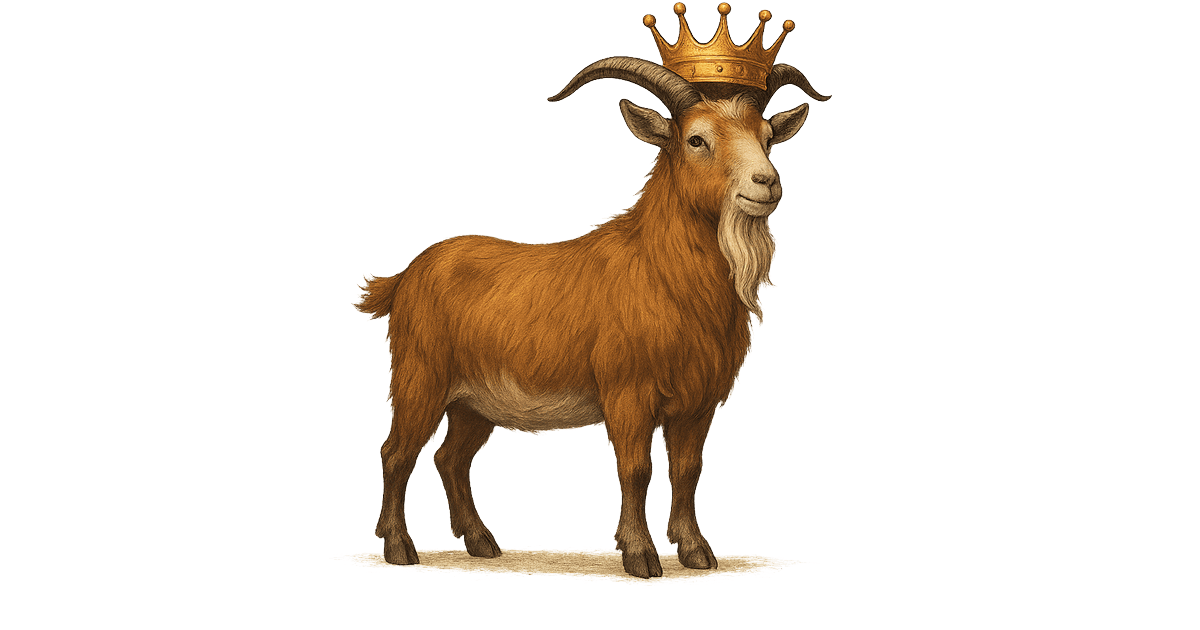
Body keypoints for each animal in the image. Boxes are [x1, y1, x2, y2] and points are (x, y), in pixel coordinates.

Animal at [353, 10, 828, 579]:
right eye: (696, 139)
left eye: (767, 136)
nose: (765, 183)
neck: (661, 275)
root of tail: (406, 276)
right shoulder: (628, 392)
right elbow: (637, 468)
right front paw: (641, 555)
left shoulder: (698, 401)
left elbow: (688, 469)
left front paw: (696, 552)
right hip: (420, 377)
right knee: (396, 452)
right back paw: (399, 547)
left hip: (472, 402)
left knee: (451, 458)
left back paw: (482, 542)